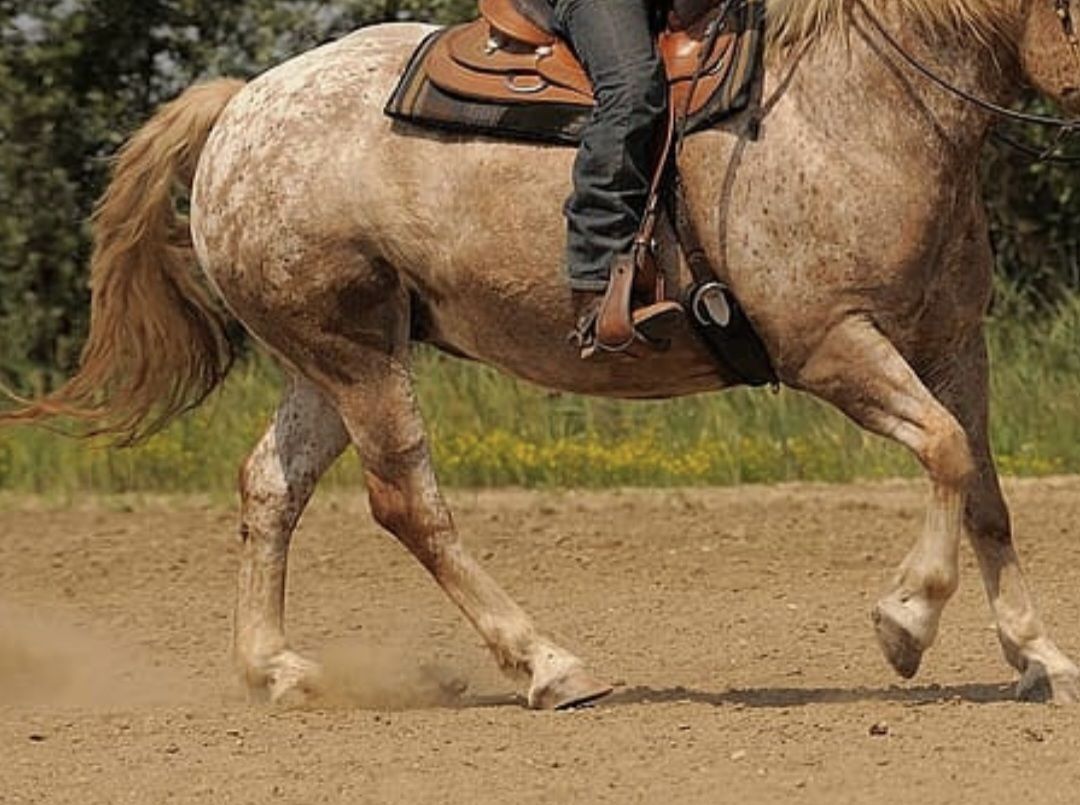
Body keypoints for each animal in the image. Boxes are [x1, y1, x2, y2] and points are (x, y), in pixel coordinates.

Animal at [7, 0, 1080, 708]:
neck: (856, 103)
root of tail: (239, 109)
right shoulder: (830, 344)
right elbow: (943, 451)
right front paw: (905, 622)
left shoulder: (952, 345)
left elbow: (982, 487)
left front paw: (1040, 656)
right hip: (357, 353)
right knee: (409, 501)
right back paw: (549, 663)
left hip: (328, 358)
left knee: (271, 485)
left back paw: (278, 669)